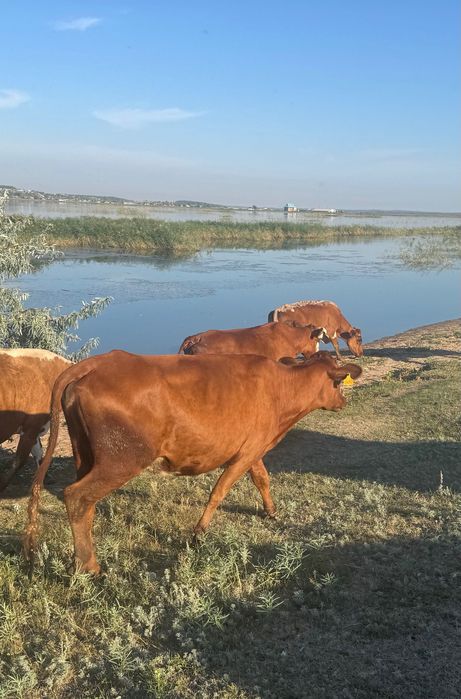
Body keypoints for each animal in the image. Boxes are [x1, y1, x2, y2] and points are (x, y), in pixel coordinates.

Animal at [24, 350, 362, 575]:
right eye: (337, 382)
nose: (344, 401)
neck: (282, 389)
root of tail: (100, 360)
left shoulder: (253, 449)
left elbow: (262, 479)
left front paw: (271, 511)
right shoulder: (246, 452)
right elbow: (219, 491)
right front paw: (199, 533)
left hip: (86, 454)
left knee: (85, 503)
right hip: (123, 459)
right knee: (77, 496)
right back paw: (89, 566)